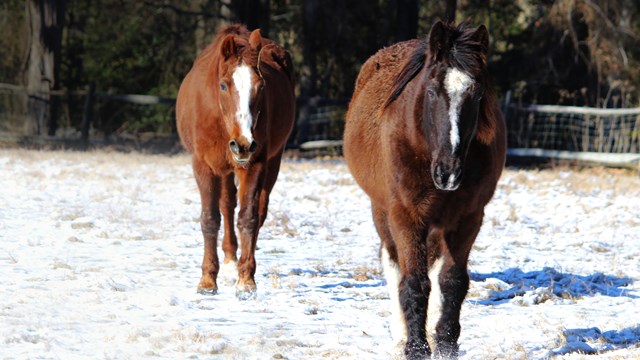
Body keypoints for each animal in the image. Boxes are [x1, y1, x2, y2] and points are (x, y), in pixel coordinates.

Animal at [175, 25, 296, 300]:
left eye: (261, 86)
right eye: (223, 85)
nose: (243, 144)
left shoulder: (254, 164)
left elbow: (249, 217)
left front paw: (246, 281)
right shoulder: (204, 167)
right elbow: (210, 218)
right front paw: (207, 280)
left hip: (271, 162)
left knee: (257, 211)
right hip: (224, 170)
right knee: (227, 205)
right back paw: (229, 261)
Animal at [344, 21, 504, 358]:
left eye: (476, 94)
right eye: (431, 91)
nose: (449, 172)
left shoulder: (468, 218)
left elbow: (452, 279)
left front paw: (445, 343)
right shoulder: (406, 216)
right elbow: (414, 282)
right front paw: (416, 347)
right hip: (382, 212)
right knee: (393, 263)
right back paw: (401, 334)